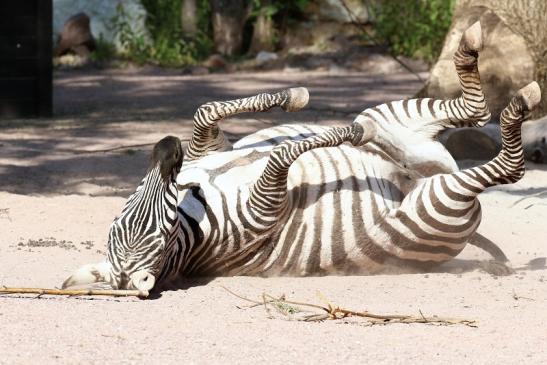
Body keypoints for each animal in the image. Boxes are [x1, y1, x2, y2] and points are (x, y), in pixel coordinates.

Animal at [62, 21, 540, 292]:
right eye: (144, 230)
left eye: (126, 216)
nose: (166, 147)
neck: (193, 215)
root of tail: (419, 174)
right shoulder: (266, 204)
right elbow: (281, 155)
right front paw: (344, 133)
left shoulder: (208, 148)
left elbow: (208, 109)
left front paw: (295, 97)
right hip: (435, 202)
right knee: (507, 164)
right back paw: (516, 106)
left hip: (393, 118)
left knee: (473, 109)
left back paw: (475, 53)